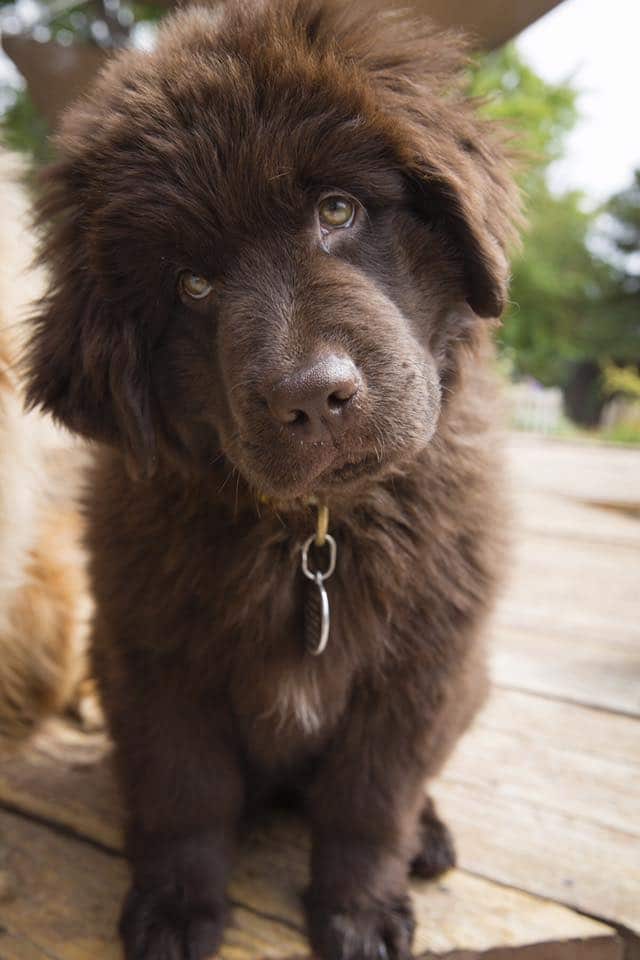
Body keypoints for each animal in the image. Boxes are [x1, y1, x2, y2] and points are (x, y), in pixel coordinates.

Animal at [25, 3, 520, 956]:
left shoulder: (422, 670)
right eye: (192, 284)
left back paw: (430, 836)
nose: (312, 397)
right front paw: (177, 907)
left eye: (338, 209)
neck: (315, 529)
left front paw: (360, 910)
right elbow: (186, 794)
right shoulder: (155, 657)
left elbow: (370, 801)